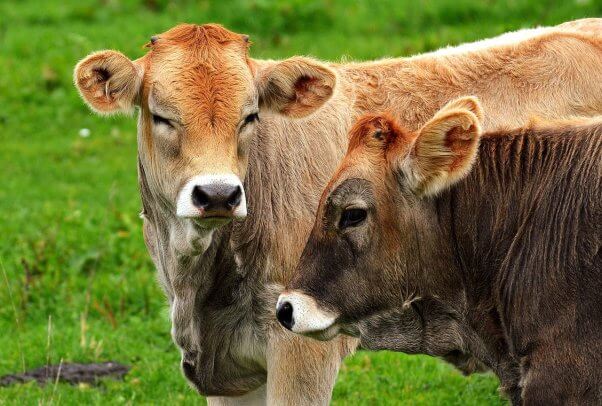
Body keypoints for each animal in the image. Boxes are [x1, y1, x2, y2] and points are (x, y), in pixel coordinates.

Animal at [75, 18, 600, 402]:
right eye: (160, 116)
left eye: (250, 115)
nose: (219, 195)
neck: (199, 284)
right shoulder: (229, 371)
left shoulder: (300, 350)